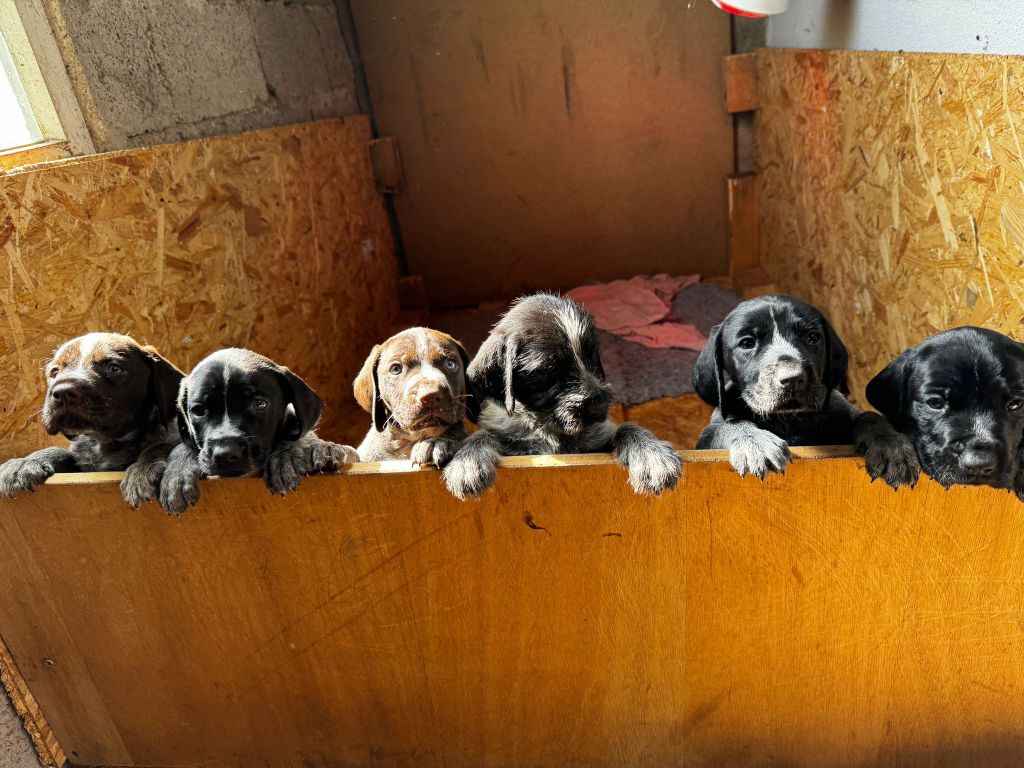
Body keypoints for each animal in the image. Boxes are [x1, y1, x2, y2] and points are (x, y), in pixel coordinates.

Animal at [0, 331, 184, 507]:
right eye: (54, 372)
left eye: (114, 368)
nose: (62, 391)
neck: (104, 443)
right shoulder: (83, 465)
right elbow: (62, 451)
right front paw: (25, 462)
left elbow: (162, 445)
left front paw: (143, 469)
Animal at [440, 292, 679, 499]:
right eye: (547, 370)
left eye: (592, 358)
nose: (600, 406)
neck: (546, 428)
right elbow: (484, 434)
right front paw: (467, 461)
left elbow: (626, 428)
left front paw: (652, 455)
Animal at [692, 294, 917, 487]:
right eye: (747, 343)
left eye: (812, 337)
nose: (793, 379)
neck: (788, 420)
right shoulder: (707, 437)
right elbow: (729, 425)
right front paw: (755, 443)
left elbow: (868, 416)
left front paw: (891, 445)